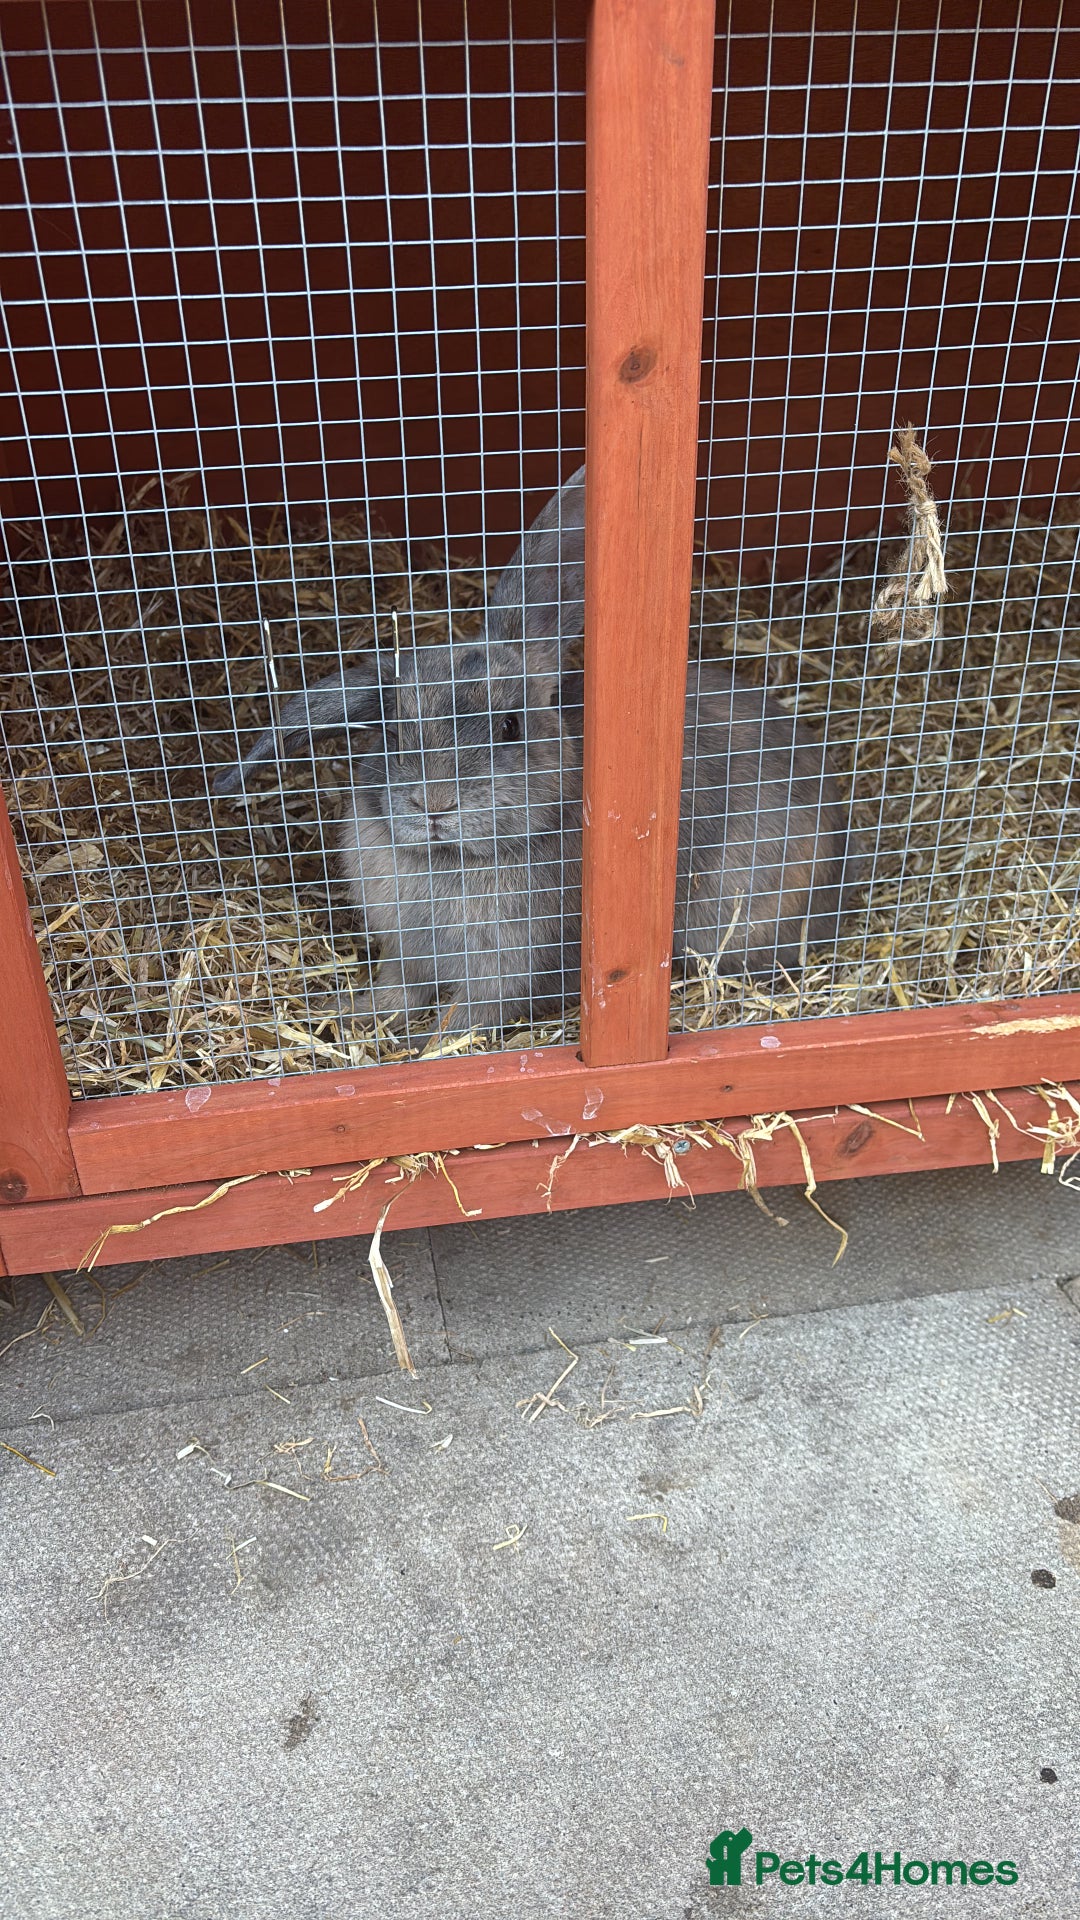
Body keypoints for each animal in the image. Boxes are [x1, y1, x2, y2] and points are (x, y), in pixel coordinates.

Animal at [213, 466, 853, 1030]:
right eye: (393, 733)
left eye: (510, 727)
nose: (435, 805)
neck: (456, 861)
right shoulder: (408, 954)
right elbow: (397, 992)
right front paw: (347, 1015)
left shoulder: (507, 971)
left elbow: (464, 1018)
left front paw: (429, 1046)